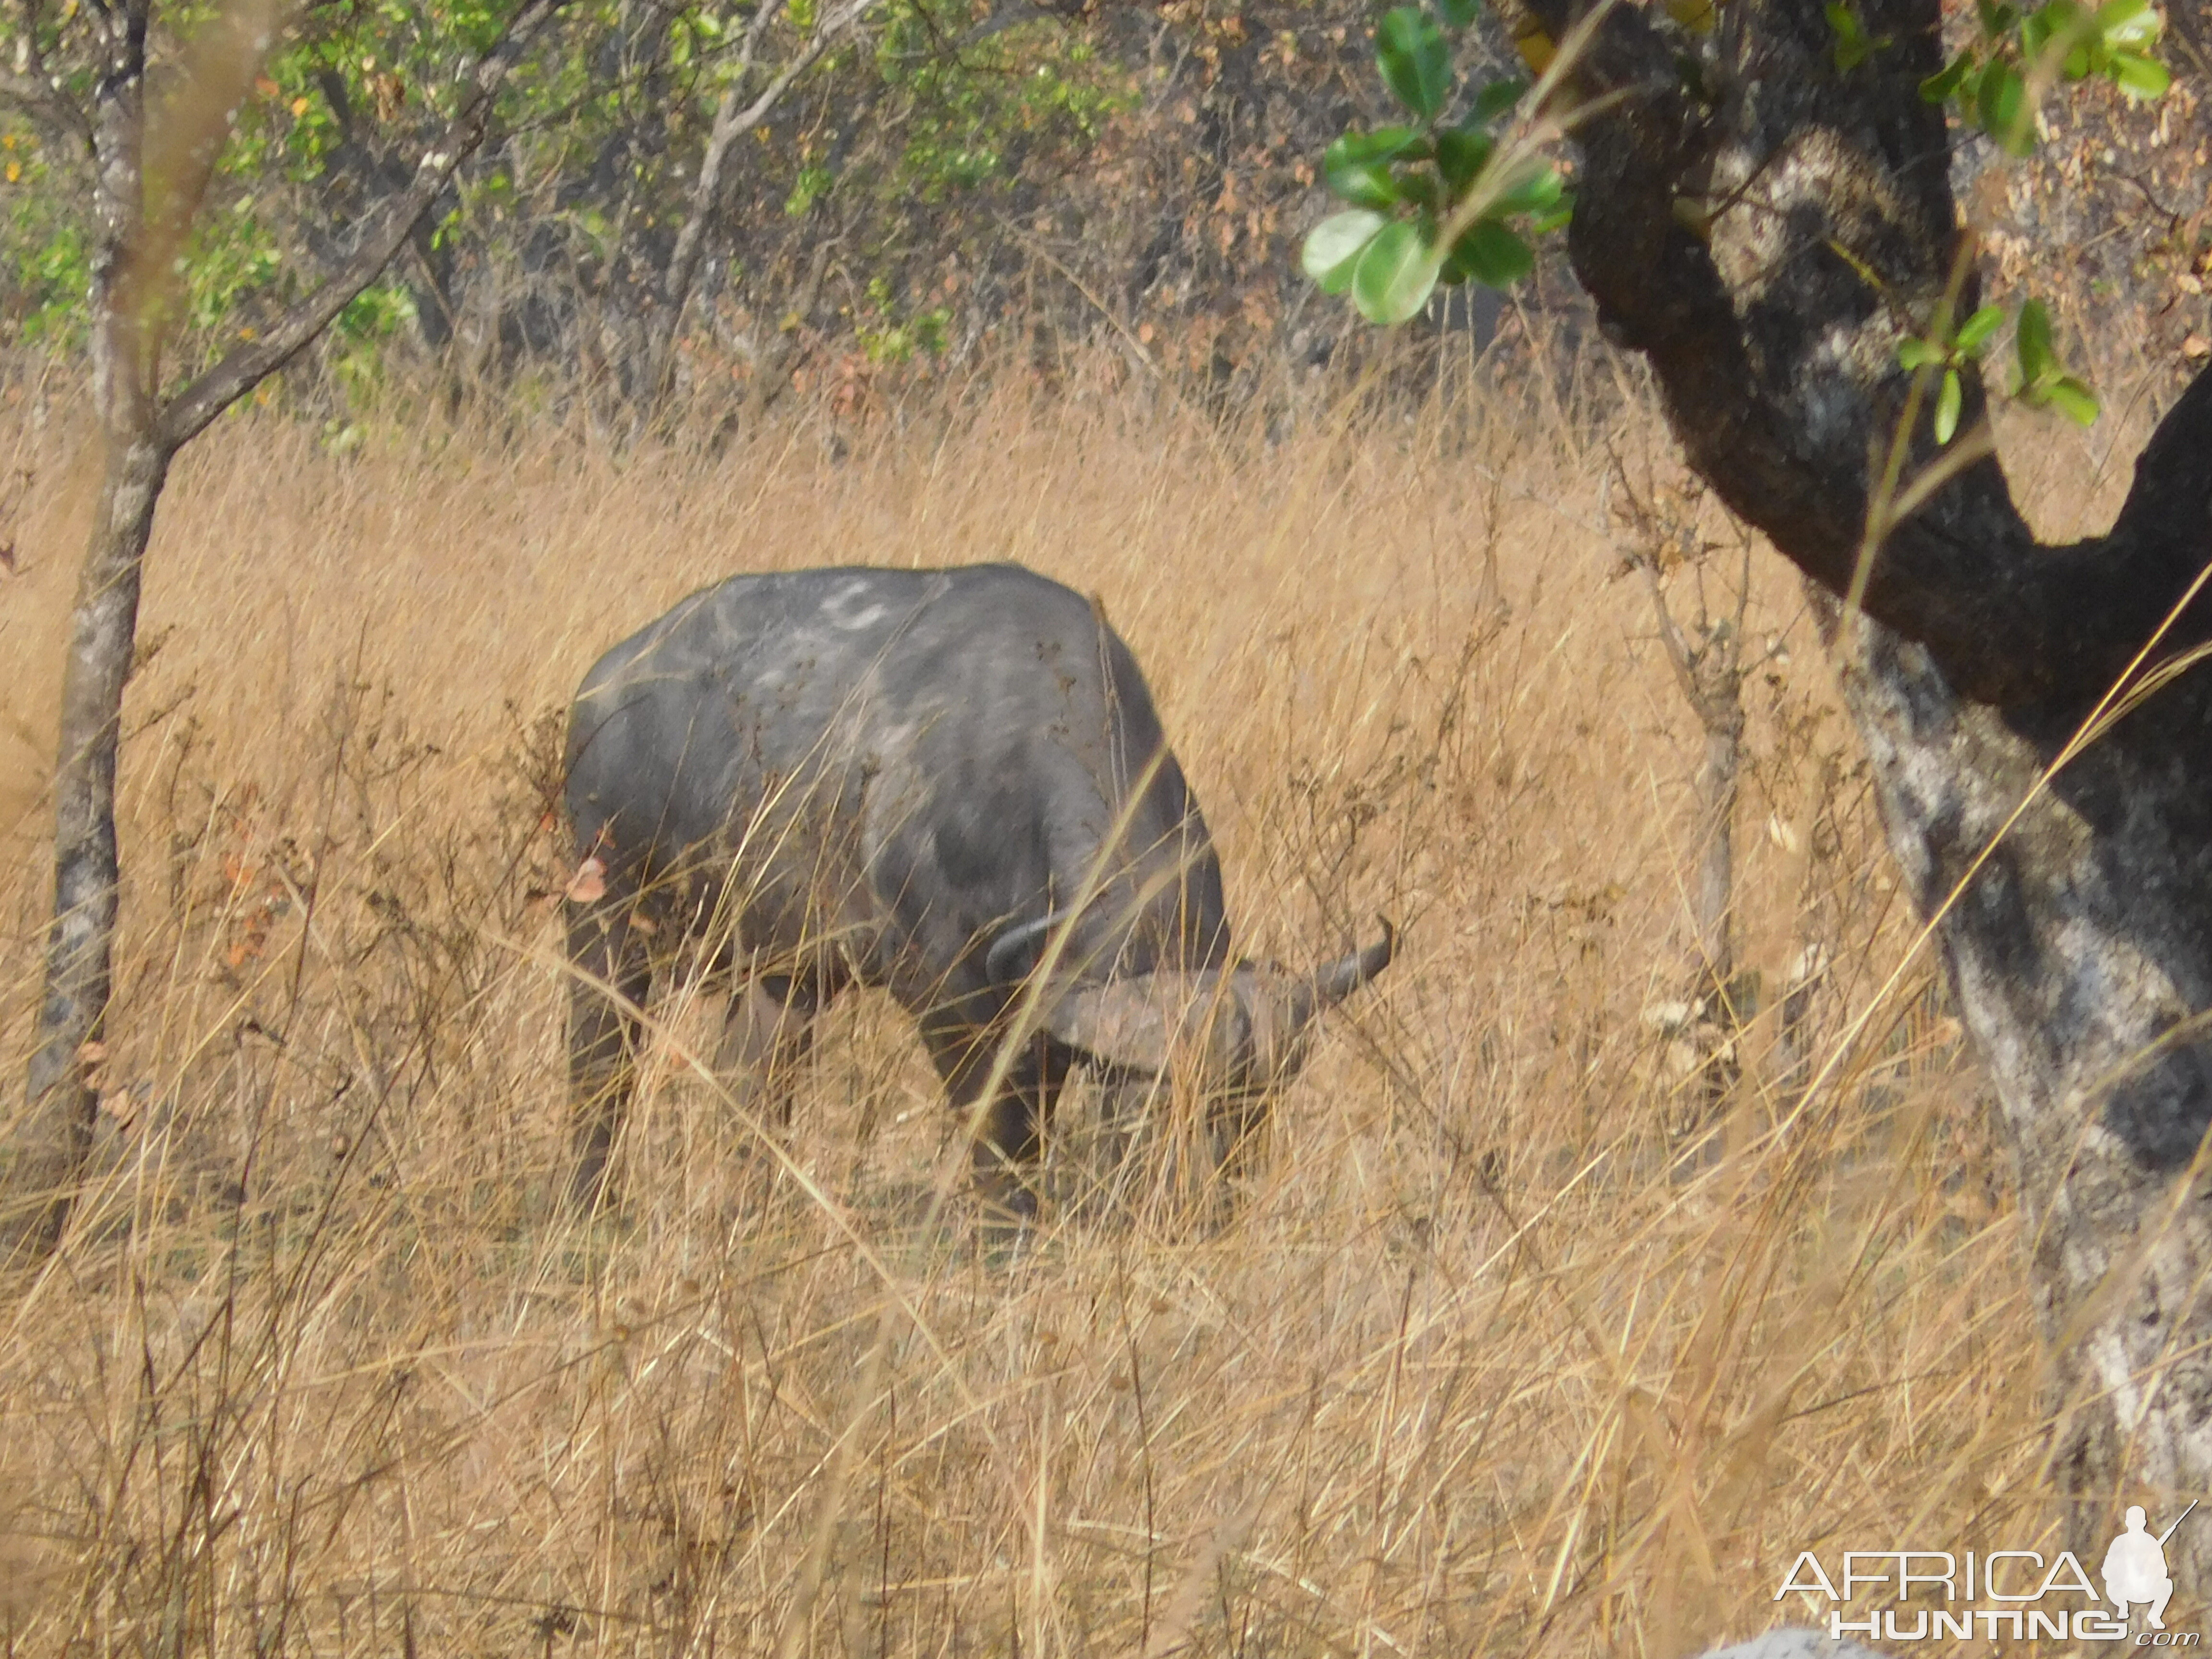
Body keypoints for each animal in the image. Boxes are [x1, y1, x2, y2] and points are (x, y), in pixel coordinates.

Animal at [562, 566, 1389, 1230]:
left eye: (1251, 1111)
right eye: (1147, 1106)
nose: (1198, 1207)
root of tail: (603, 685)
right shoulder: (950, 1002)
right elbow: (1002, 1133)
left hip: (787, 973)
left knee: (753, 1082)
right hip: (604, 918)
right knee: (600, 1065)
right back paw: (593, 1205)